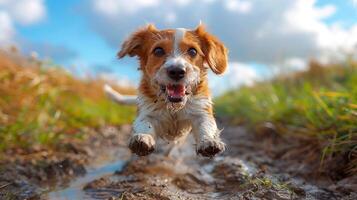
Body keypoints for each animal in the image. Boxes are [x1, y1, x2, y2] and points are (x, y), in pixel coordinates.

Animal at [104, 23, 228, 158]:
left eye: (193, 51)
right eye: (158, 50)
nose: (177, 71)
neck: (173, 108)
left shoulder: (201, 109)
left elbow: (205, 126)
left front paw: (209, 141)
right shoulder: (147, 111)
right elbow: (145, 124)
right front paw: (143, 137)